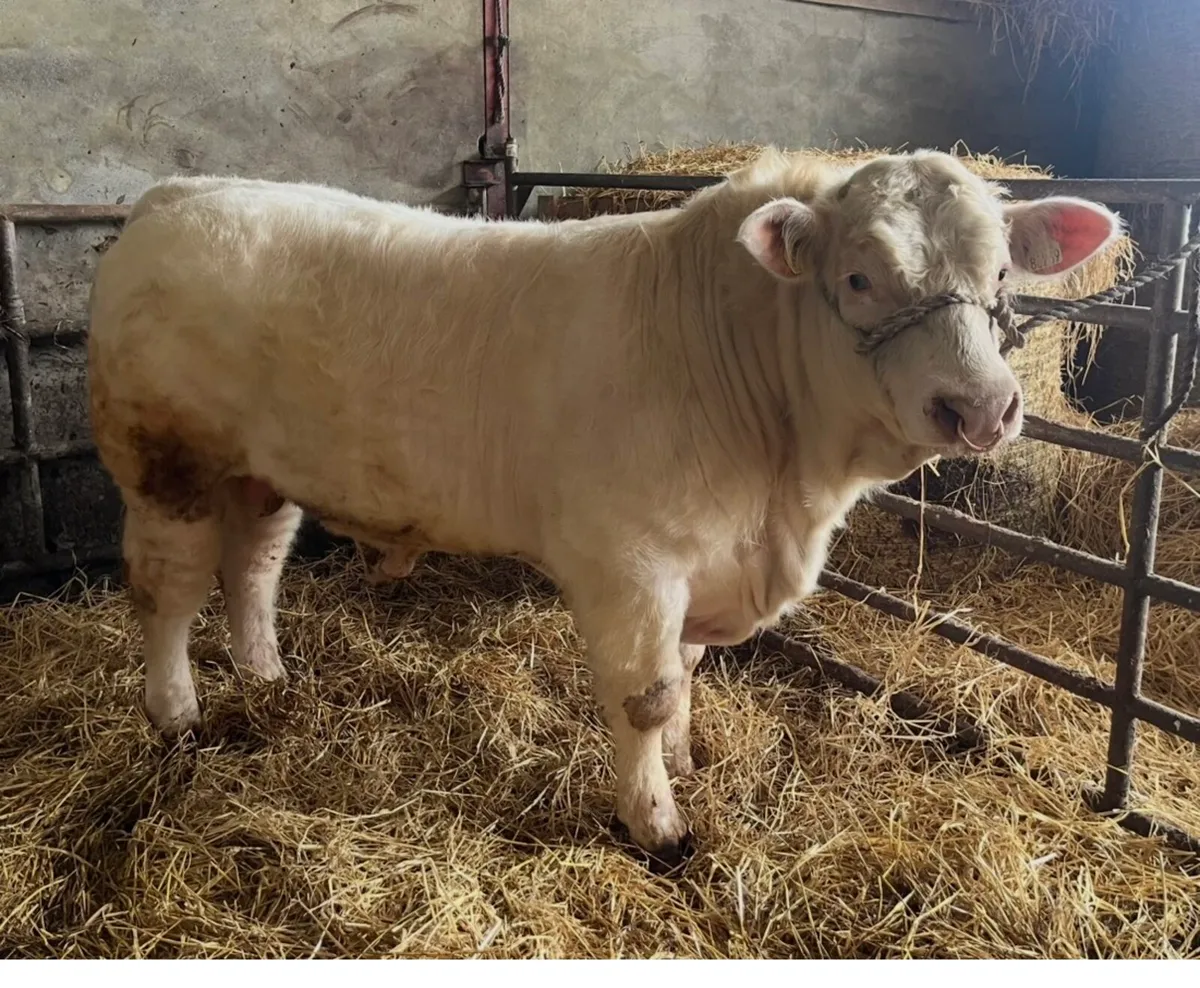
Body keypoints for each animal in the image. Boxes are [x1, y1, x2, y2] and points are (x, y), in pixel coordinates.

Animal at [87, 149, 1121, 864]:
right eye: (861, 278)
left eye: (1000, 276)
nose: (981, 408)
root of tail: (176, 194)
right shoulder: (632, 563)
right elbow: (646, 694)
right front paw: (657, 821)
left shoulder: (705, 561)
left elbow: (689, 676)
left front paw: (691, 759)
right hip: (164, 460)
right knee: (170, 591)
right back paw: (176, 713)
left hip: (258, 471)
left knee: (254, 564)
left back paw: (266, 678)